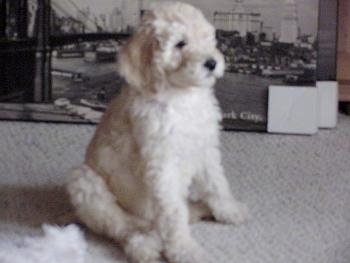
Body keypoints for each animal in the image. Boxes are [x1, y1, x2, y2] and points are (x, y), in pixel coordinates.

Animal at [67, 2, 247, 263]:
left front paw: (229, 209)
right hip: (85, 183)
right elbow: (173, 213)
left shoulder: (205, 147)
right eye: (180, 43)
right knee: (121, 226)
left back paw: (199, 208)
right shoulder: (162, 162)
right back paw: (143, 244)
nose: (212, 63)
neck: (182, 97)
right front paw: (184, 249)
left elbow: (216, 183)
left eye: (207, 39)